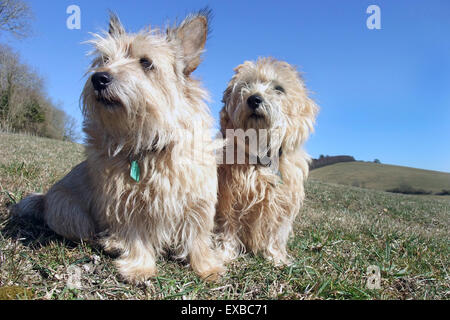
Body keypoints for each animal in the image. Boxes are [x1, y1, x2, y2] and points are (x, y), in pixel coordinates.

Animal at [12, 9, 225, 282]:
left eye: (146, 62)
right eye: (104, 59)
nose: (98, 78)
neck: (147, 143)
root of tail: (44, 198)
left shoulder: (197, 200)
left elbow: (197, 237)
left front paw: (207, 267)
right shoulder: (124, 203)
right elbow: (135, 236)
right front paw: (139, 268)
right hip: (72, 215)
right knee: (90, 234)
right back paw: (112, 242)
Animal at [215, 57, 318, 264]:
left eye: (279, 88)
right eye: (245, 85)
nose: (254, 99)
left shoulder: (283, 203)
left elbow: (277, 232)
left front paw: (276, 258)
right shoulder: (229, 197)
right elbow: (227, 226)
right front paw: (224, 253)